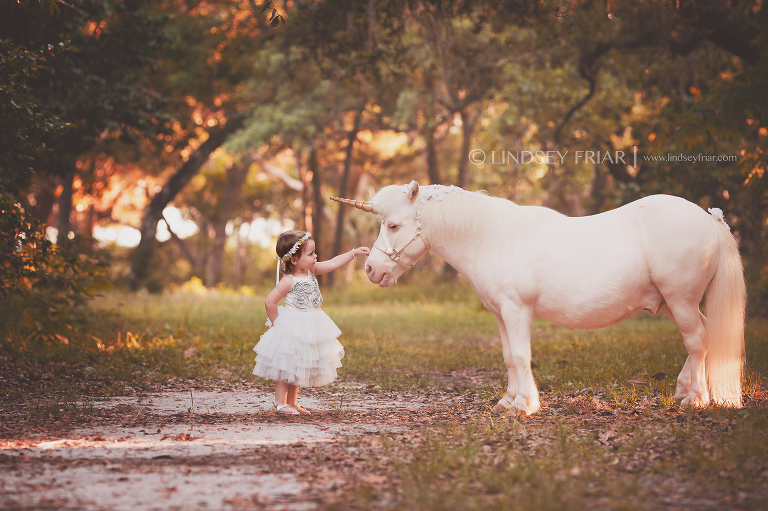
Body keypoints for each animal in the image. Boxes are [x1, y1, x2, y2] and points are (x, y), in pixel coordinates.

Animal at [332, 181, 748, 416]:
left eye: (393, 225)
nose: (371, 270)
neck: (491, 237)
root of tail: (710, 220)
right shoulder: (501, 314)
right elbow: (508, 357)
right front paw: (507, 402)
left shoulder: (517, 311)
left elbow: (521, 356)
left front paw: (524, 406)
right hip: (676, 304)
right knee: (703, 337)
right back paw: (684, 391)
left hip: (681, 300)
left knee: (697, 340)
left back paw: (695, 400)